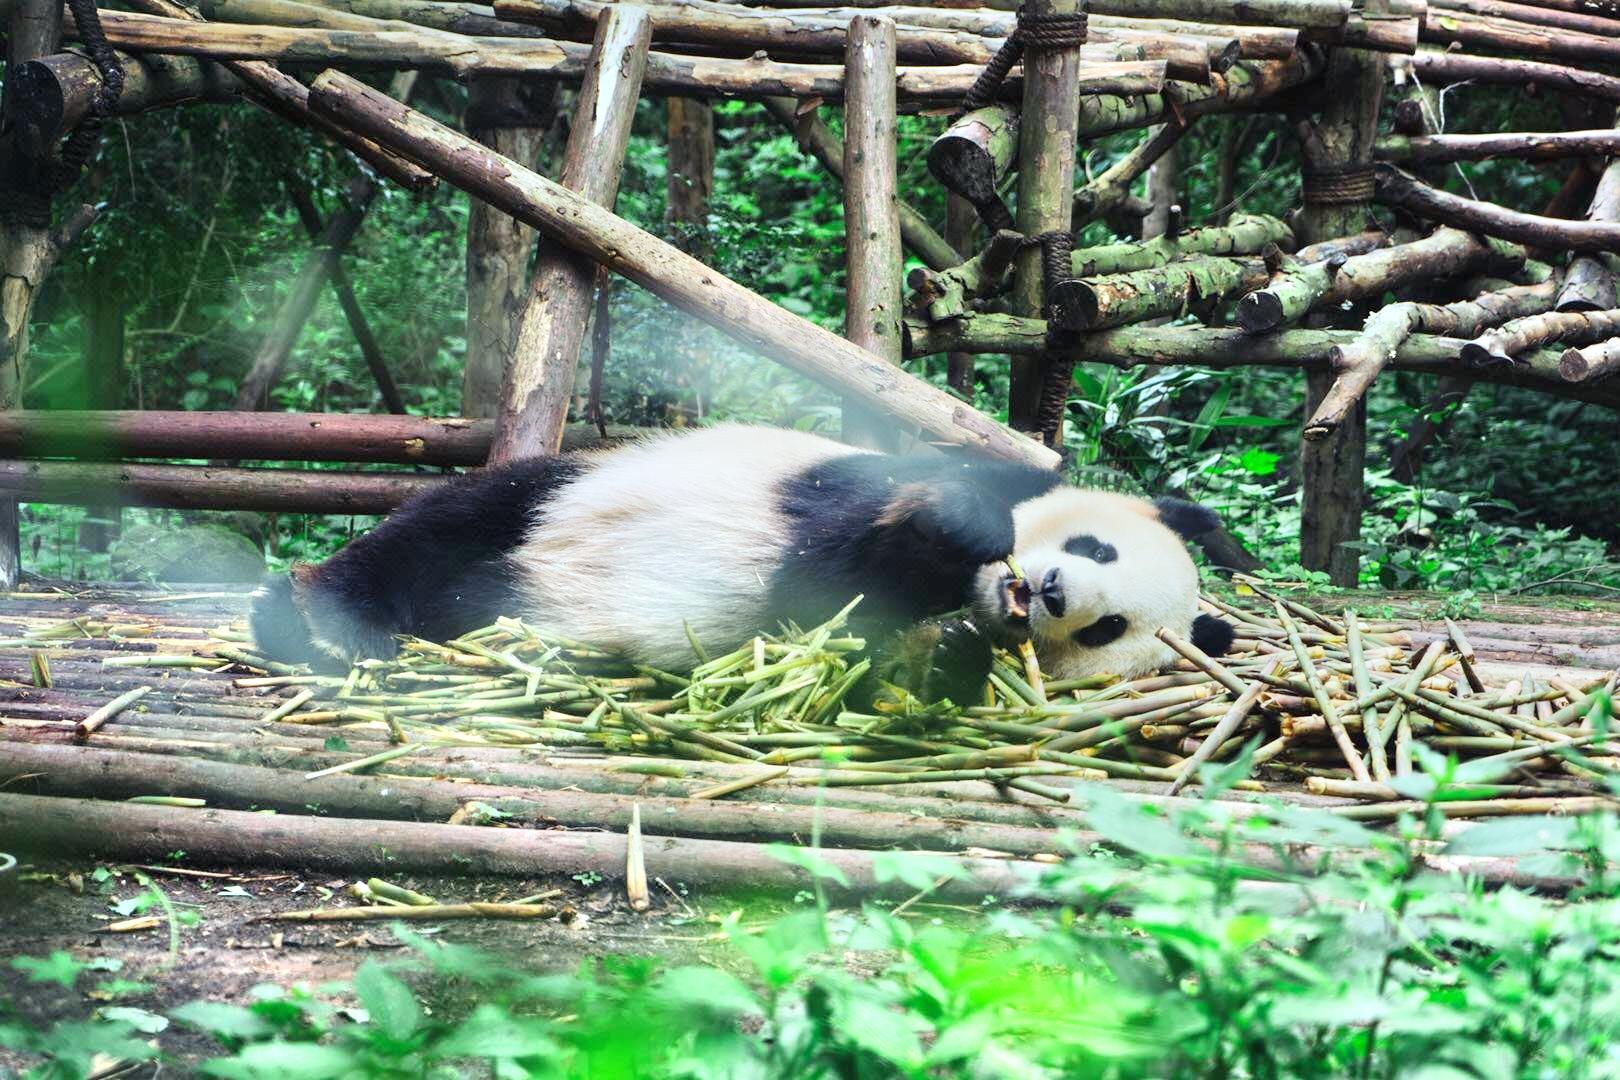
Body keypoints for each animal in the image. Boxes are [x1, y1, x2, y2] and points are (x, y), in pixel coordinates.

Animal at [252, 420, 1231, 702]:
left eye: (1107, 630)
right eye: (1096, 546)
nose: (1053, 589)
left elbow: (846, 638)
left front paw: (948, 652)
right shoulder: (876, 476)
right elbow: (861, 530)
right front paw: (960, 536)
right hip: (574, 486)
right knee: (455, 516)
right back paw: (322, 619)